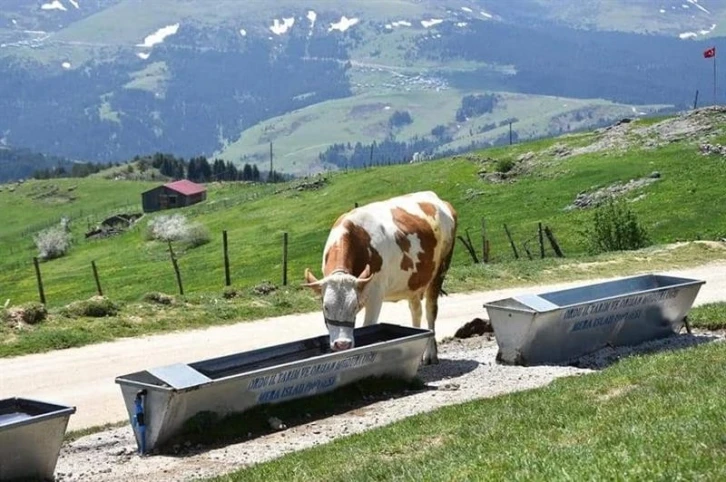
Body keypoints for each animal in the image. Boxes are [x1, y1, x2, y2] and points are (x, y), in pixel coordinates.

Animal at [304, 190, 458, 364]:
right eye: (325, 307)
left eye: (354, 306)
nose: (342, 344)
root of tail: (435, 197)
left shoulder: (376, 294)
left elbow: (368, 326)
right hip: (412, 280)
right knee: (416, 310)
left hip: (441, 268)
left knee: (431, 309)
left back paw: (430, 354)